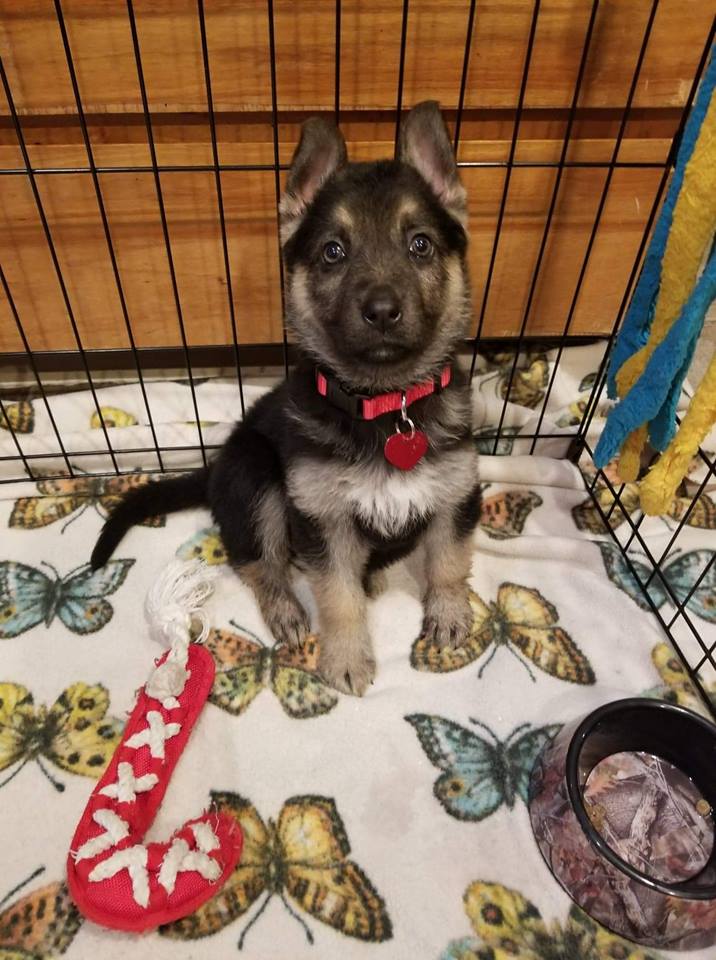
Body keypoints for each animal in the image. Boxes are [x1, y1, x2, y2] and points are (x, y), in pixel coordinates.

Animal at [91, 101, 482, 692]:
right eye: (333, 252)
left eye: (420, 244)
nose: (382, 311)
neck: (385, 407)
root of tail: (214, 468)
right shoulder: (325, 520)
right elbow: (339, 596)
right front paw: (345, 657)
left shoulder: (455, 494)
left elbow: (449, 561)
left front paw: (451, 613)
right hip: (258, 478)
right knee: (255, 561)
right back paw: (286, 611)